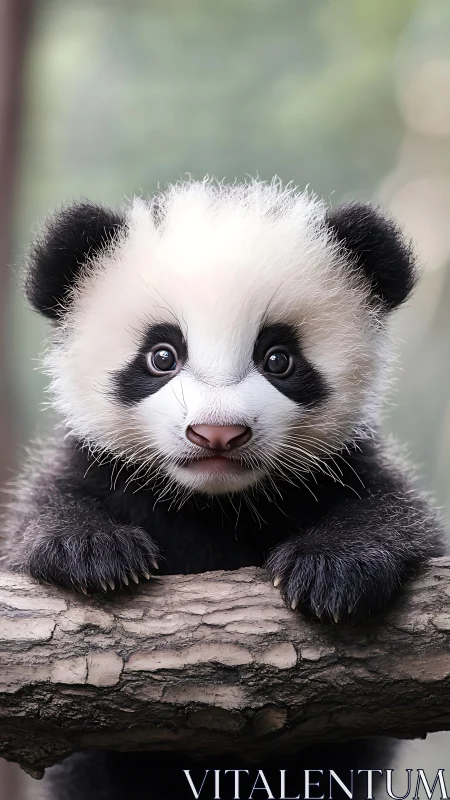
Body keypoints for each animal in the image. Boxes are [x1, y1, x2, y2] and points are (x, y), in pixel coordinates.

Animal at [3, 179, 446, 800]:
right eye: (162, 355)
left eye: (278, 358)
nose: (217, 433)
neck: (216, 502)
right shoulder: (92, 466)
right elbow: (38, 521)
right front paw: (94, 552)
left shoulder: (344, 466)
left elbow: (400, 516)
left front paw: (332, 569)